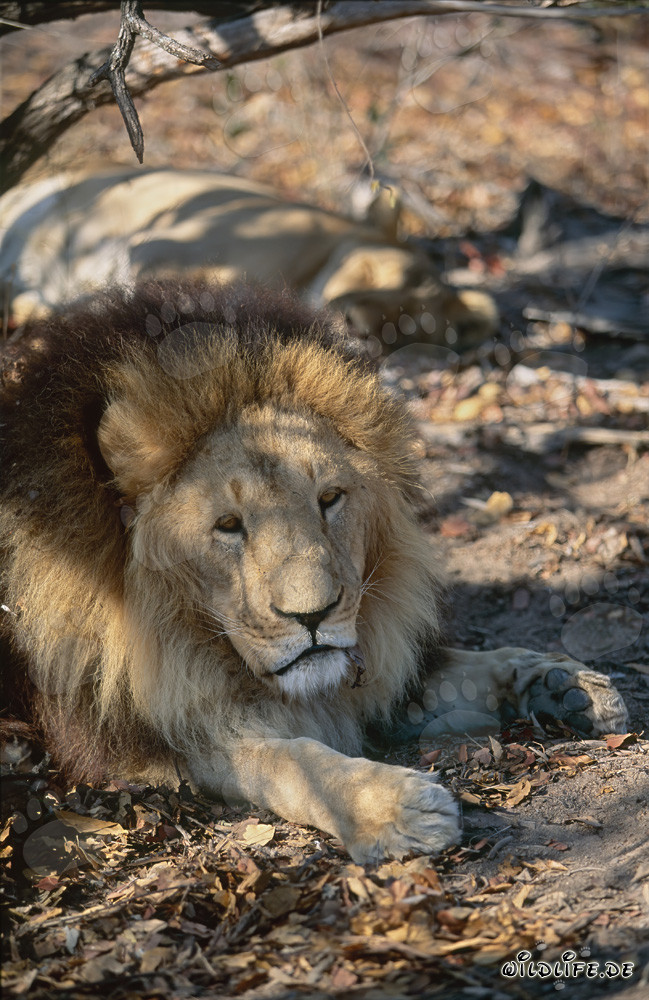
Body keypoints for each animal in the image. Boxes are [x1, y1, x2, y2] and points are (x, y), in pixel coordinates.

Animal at [0, 282, 627, 864]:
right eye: (228, 525)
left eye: (329, 498)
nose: (314, 616)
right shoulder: (168, 741)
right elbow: (293, 761)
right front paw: (394, 809)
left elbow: (461, 670)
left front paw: (561, 682)